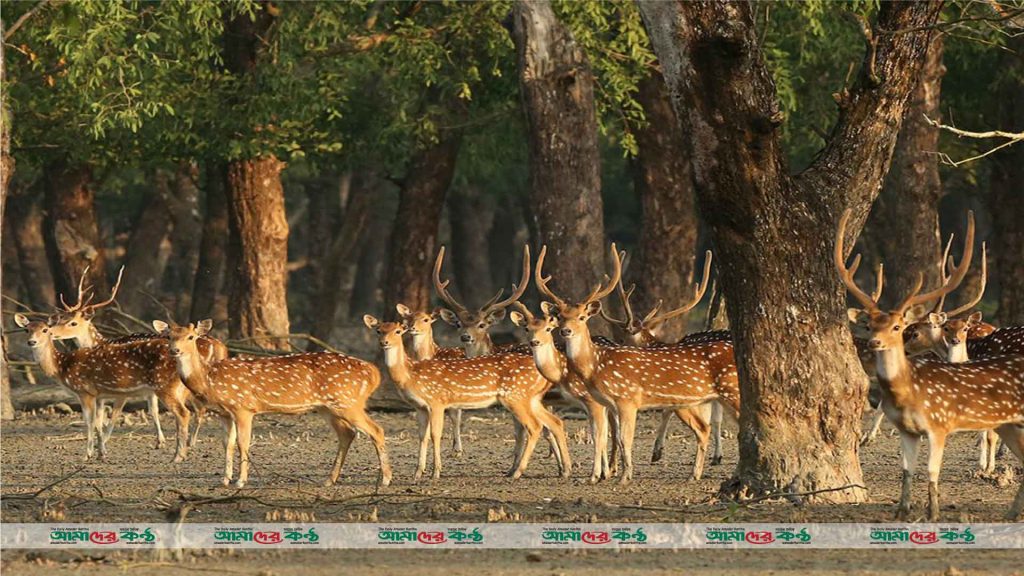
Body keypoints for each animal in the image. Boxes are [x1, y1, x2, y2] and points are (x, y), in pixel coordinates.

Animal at [15, 311, 193, 459]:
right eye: (26, 330)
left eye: (46, 330)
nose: (32, 342)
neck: (62, 367)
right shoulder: (99, 395)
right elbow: (99, 421)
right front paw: (101, 453)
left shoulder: (85, 391)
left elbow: (90, 422)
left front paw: (88, 454)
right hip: (177, 388)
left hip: (164, 385)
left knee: (183, 413)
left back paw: (178, 455)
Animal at [155, 317, 391, 483]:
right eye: (169, 336)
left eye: (191, 337)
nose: (174, 350)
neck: (209, 379)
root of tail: (373, 373)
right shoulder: (224, 413)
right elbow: (227, 444)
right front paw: (225, 479)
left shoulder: (243, 407)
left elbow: (243, 443)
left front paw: (241, 481)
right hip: (329, 408)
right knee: (347, 434)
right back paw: (329, 480)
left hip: (348, 402)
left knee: (377, 430)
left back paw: (386, 480)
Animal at [364, 313, 573, 479]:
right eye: (378, 331)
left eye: (398, 331)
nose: (384, 342)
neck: (410, 375)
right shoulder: (419, 407)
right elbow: (422, 436)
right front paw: (417, 473)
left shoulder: (437, 400)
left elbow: (435, 434)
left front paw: (435, 472)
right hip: (531, 398)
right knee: (555, 422)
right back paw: (565, 470)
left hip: (516, 396)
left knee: (534, 426)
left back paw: (518, 472)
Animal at [536, 239, 737, 481]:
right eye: (560, 317)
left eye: (582, 317)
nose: (565, 331)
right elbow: (606, 435)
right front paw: (603, 474)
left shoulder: (630, 399)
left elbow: (625, 436)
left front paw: (626, 472)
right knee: (706, 427)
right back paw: (696, 472)